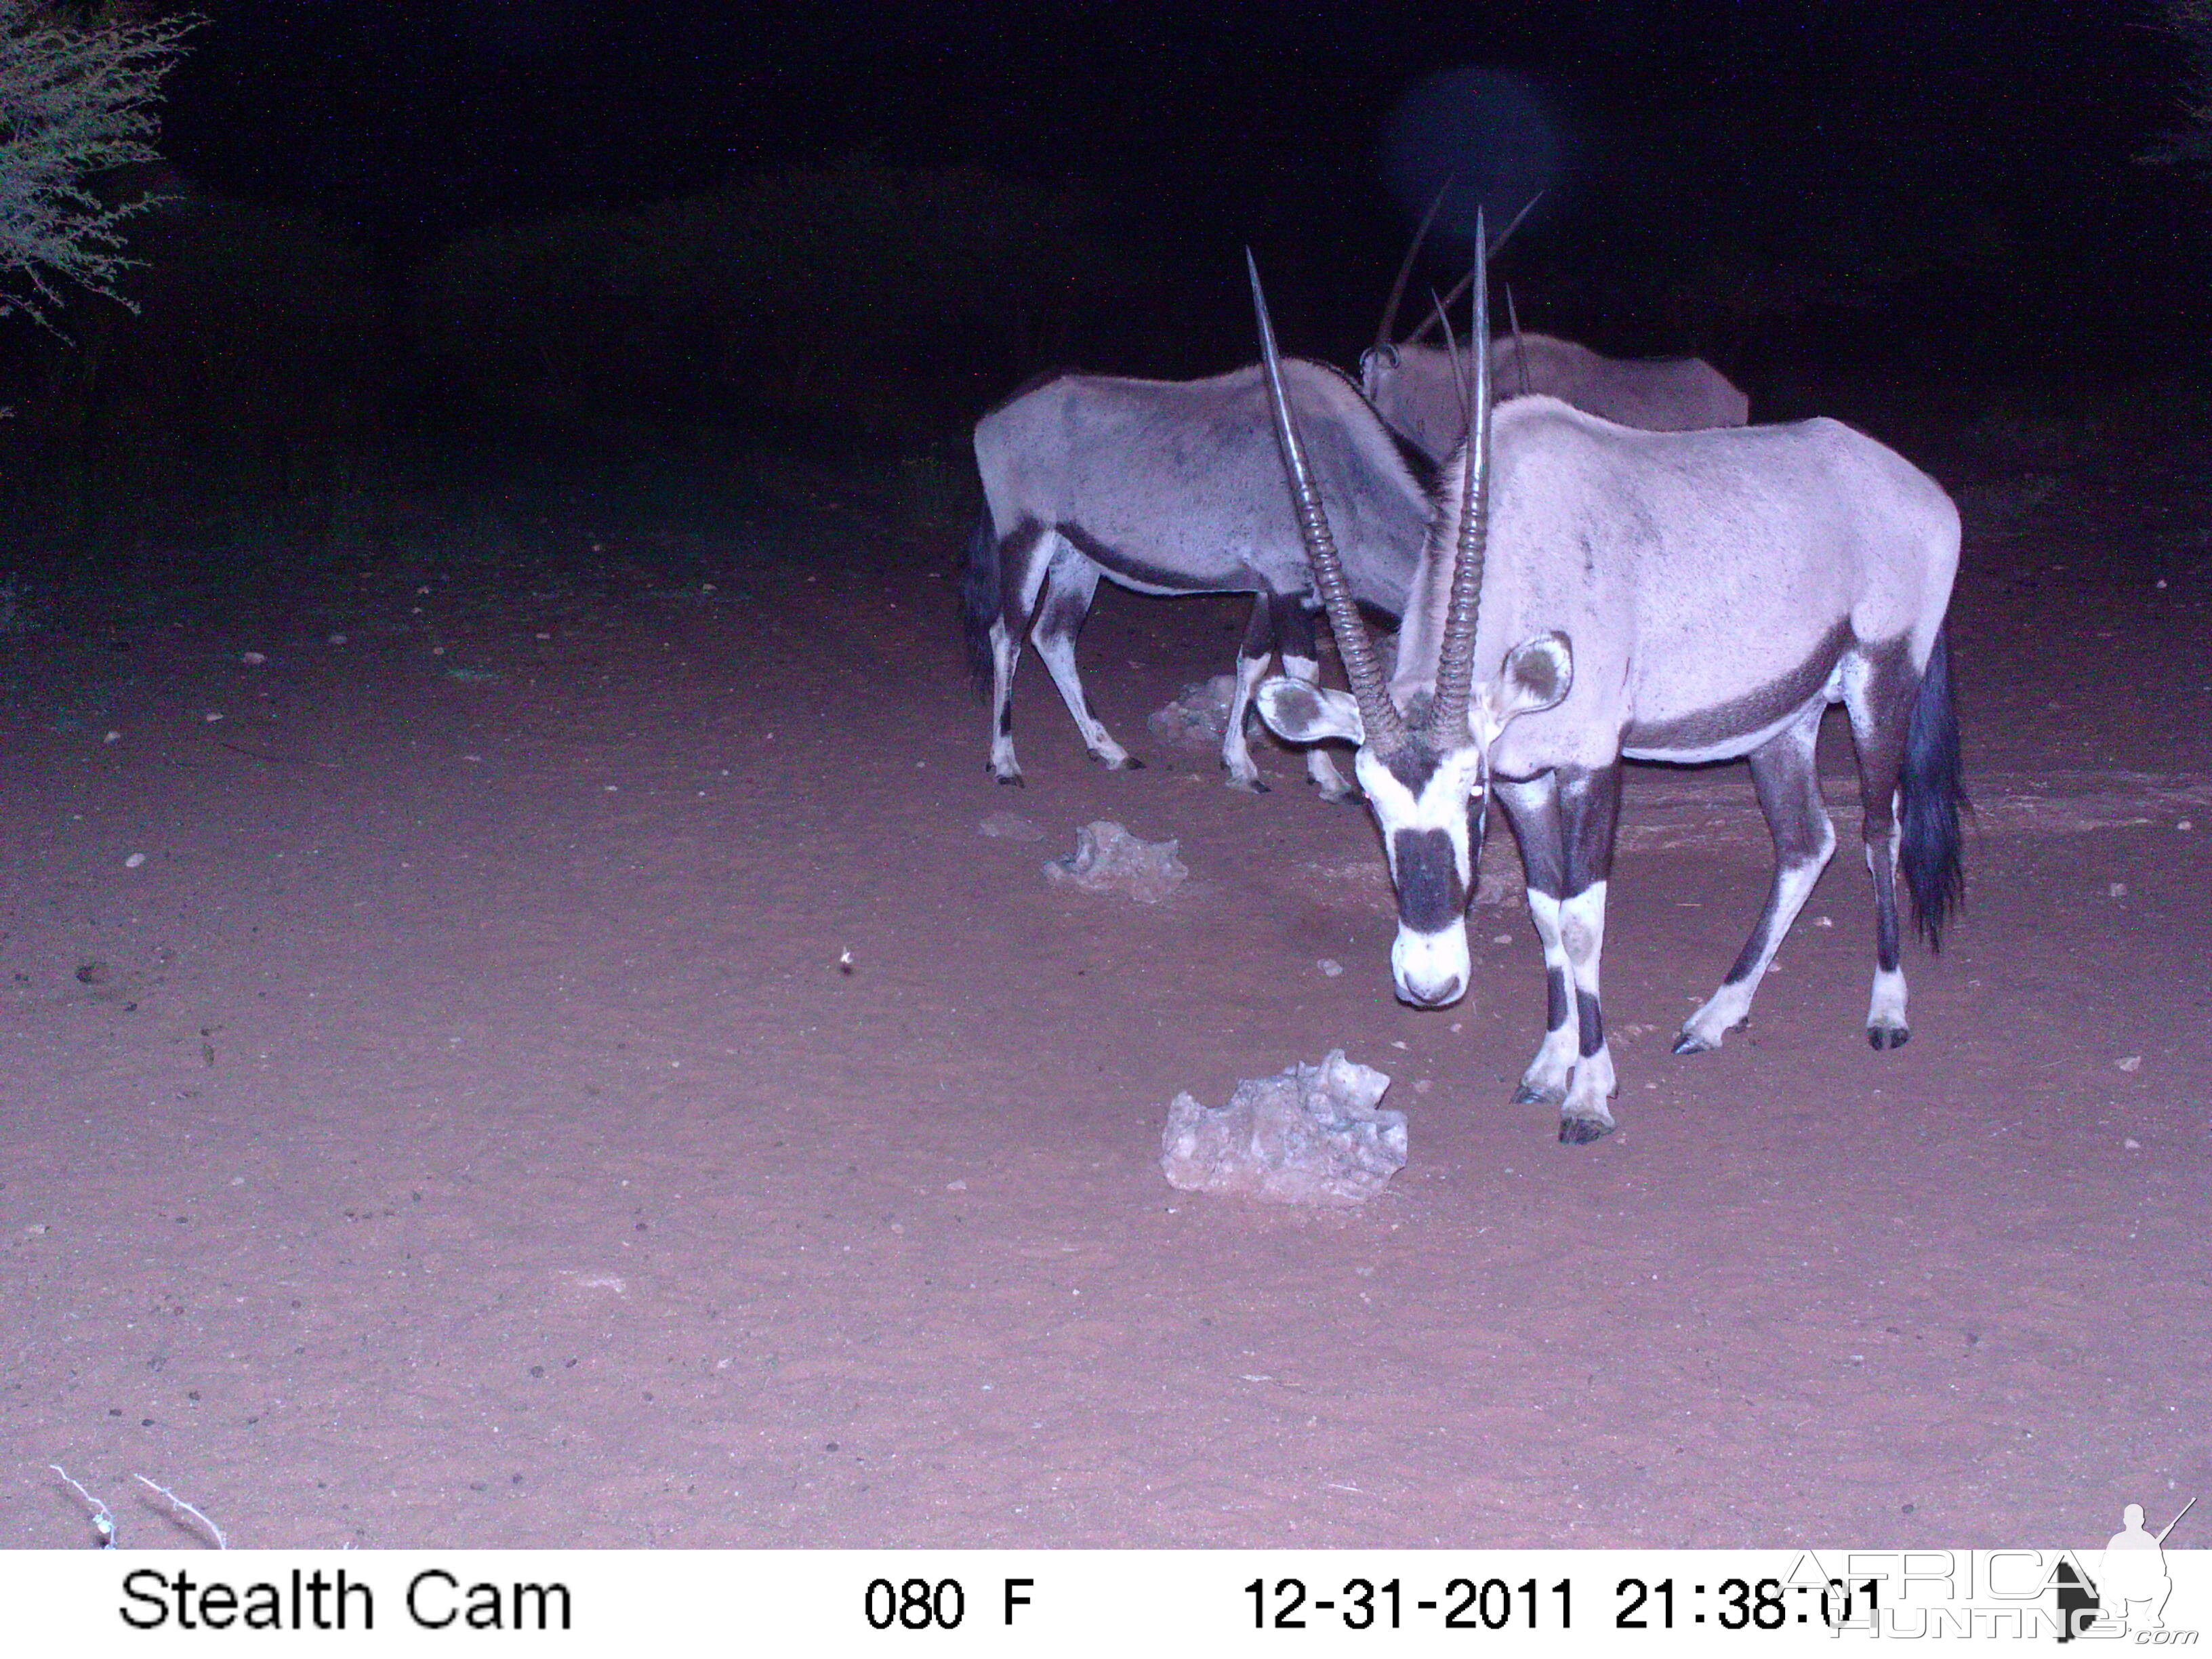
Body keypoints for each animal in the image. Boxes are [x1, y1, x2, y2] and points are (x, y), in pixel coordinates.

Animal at [964, 363, 1433, 800]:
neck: (1345, 472)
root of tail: (995, 416)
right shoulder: (1288, 587)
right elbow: (1304, 676)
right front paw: (1328, 779)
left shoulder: (1271, 590)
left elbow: (1254, 662)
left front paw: (1239, 765)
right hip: (1027, 537)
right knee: (1007, 637)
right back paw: (1005, 761)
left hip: (1076, 559)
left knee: (1053, 637)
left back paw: (1109, 749)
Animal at [1256, 231, 1964, 1141]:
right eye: (1371, 799)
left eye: (1470, 795)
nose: (1429, 983)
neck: (1523, 545)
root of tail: (1921, 491)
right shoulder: (1530, 777)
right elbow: (1543, 909)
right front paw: (1549, 1063)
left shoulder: (1592, 764)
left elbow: (1583, 918)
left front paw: (1590, 1094)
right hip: (1786, 719)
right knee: (1809, 842)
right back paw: (1715, 1016)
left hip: (1882, 678)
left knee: (1882, 829)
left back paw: (1886, 1009)